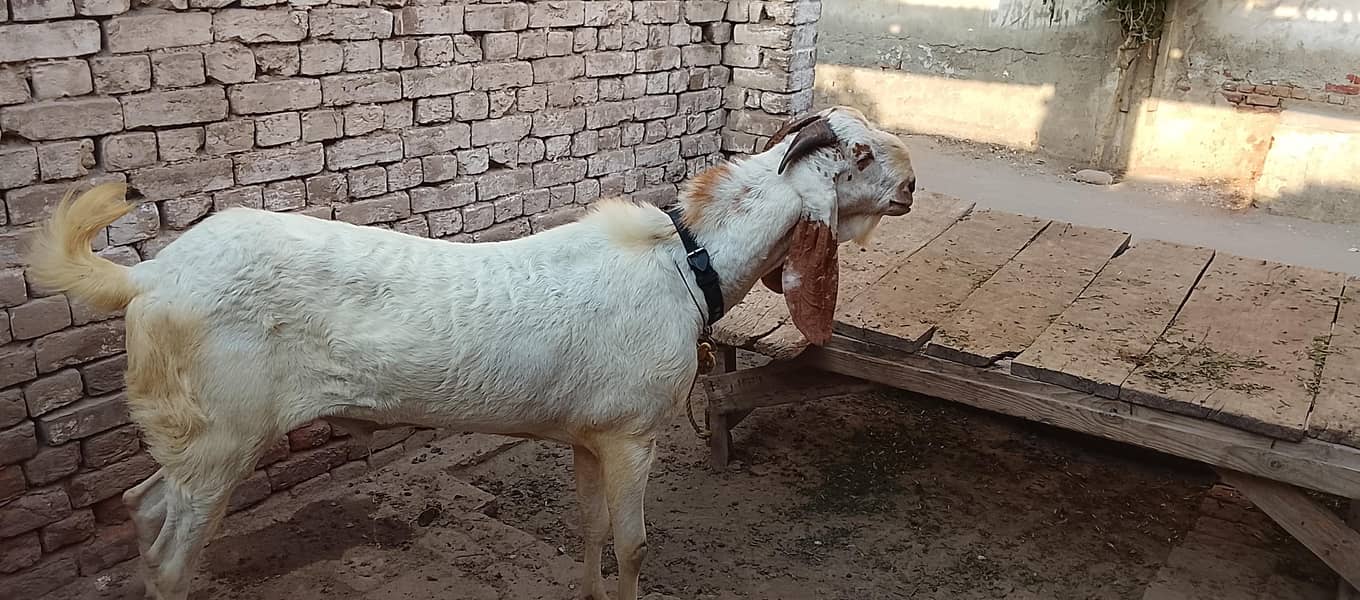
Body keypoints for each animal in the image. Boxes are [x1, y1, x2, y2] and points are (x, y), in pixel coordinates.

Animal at [26, 105, 917, 600]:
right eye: (859, 156)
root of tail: (147, 277)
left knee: (144, 507)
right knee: (171, 557)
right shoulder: (633, 433)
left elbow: (588, 528)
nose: (913, 185)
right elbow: (632, 544)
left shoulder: (591, 435)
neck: (686, 263)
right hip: (220, 435)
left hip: (194, 435)